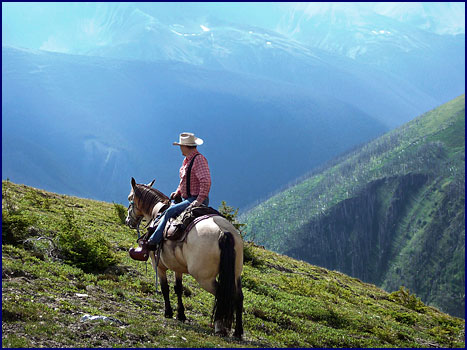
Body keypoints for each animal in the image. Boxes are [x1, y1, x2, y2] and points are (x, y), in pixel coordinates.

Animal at [126, 179, 247, 338]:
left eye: (130, 199)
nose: (128, 221)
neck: (156, 212)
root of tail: (224, 232)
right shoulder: (177, 266)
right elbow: (178, 288)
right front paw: (181, 315)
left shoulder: (158, 265)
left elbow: (165, 288)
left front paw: (168, 313)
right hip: (236, 274)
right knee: (238, 297)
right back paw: (238, 331)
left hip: (204, 278)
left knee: (224, 295)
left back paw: (220, 327)